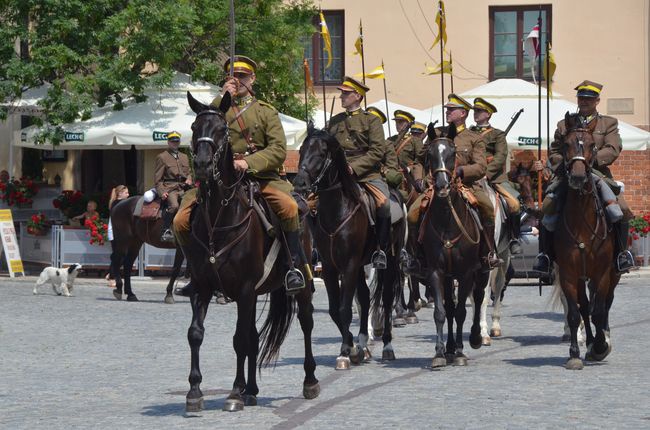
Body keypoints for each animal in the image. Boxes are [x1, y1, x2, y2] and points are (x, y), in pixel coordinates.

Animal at [181, 91, 318, 414]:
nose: (202, 164)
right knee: (254, 337)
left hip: (301, 283)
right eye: (194, 127)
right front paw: (195, 390)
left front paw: (234, 392)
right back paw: (252, 390)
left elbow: (240, 339)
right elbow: (196, 333)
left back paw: (309, 381)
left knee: (306, 323)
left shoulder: (244, 289)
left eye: (222, 130)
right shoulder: (204, 287)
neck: (219, 216)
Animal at [292, 127, 400, 366]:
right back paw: (363, 344)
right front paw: (351, 346)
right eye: (302, 150)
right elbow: (335, 309)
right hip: (360, 266)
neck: (337, 211)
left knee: (387, 299)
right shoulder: (330, 267)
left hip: (389, 261)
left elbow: (344, 308)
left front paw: (345, 351)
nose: (299, 183)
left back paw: (387, 346)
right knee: (365, 298)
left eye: (322, 154)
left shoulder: (349, 265)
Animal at [420, 126, 486, 368]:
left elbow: (460, 313)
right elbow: (441, 312)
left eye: (452, 153)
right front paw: (440, 352)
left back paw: (474, 338)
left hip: (483, 270)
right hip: (448, 277)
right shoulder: (436, 272)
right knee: (448, 306)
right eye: (429, 154)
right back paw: (448, 348)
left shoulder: (467, 273)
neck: (448, 219)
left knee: (478, 297)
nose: (441, 185)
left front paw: (459, 352)